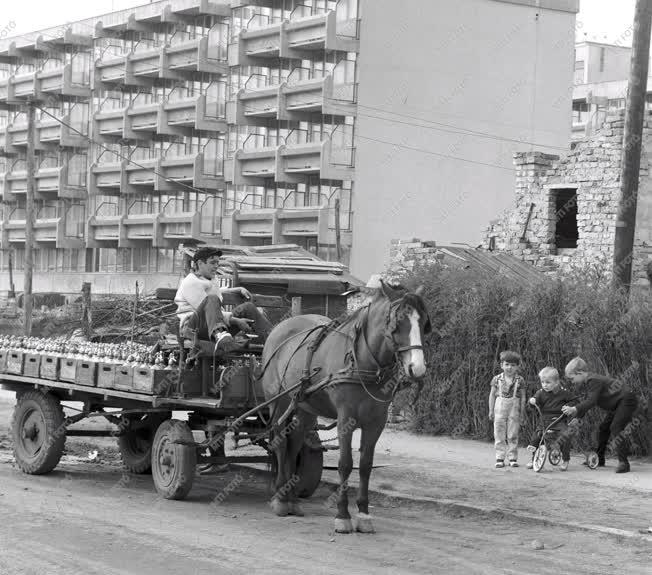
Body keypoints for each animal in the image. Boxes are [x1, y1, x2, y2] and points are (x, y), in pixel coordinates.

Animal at [260, 282, 432, 532]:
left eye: (424, 323)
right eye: (398, 323)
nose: (417, 368)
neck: (362, 360)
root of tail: (280, 327)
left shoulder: (376, 421)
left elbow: (366, 465)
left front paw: (363, 514)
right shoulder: (345, 419)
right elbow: (345, 464)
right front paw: (342, 514)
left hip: (304, 407)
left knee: (295, 443)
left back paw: (291, 498)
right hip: (277, 402)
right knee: (281, 443)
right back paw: (281, 499)